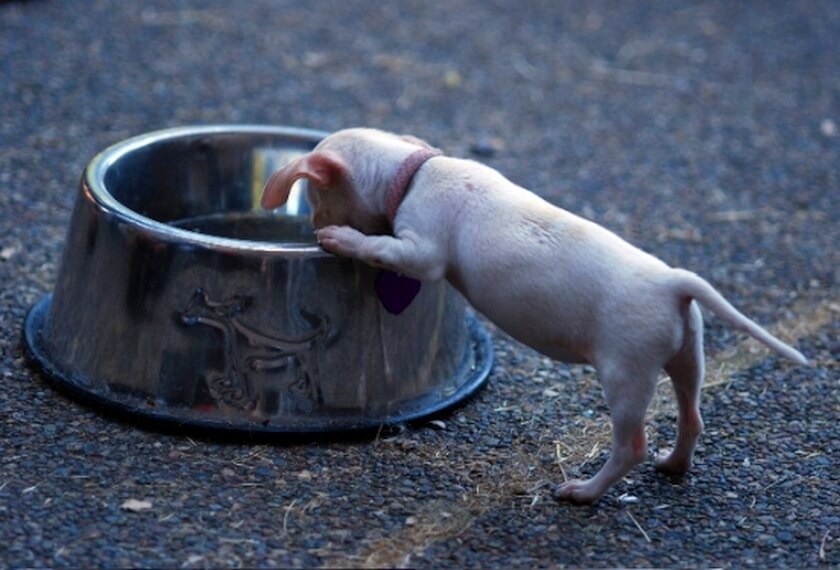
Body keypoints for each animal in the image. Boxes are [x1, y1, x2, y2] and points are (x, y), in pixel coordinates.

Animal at [262, 129, 808, 502]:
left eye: (316, 196)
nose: (313, 230)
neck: (413, 173)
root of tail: (673, 283)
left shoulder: (422, 251)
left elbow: (386, 249)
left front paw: (342, 240)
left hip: (626, 372)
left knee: (630, 445)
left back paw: (583, 492)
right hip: (688, 354)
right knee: (692, 417)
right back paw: (673, 465)